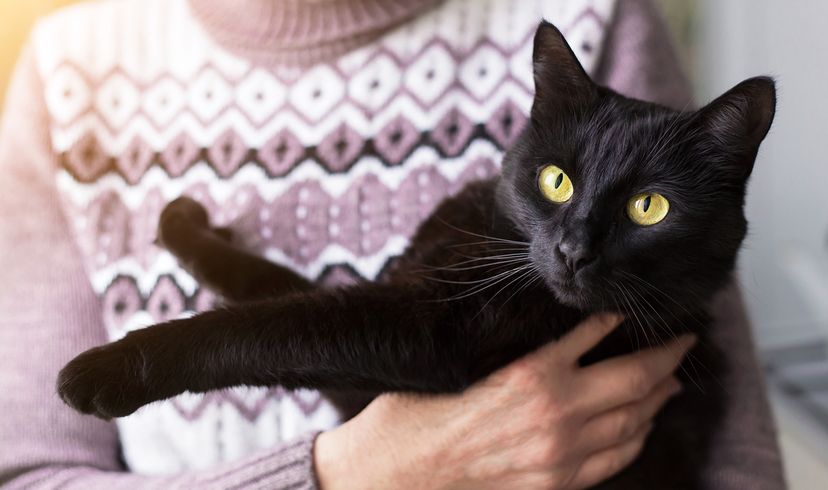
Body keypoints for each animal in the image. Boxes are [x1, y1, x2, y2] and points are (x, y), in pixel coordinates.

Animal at [58, 21, 776, 488]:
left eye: (648, 208)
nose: (573, 251)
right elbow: (266, 283)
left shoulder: (435, 334)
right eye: (556, 180)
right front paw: (183, 221)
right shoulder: (366, 362)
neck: (489, 236)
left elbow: (269, 328)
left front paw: (106, 371)